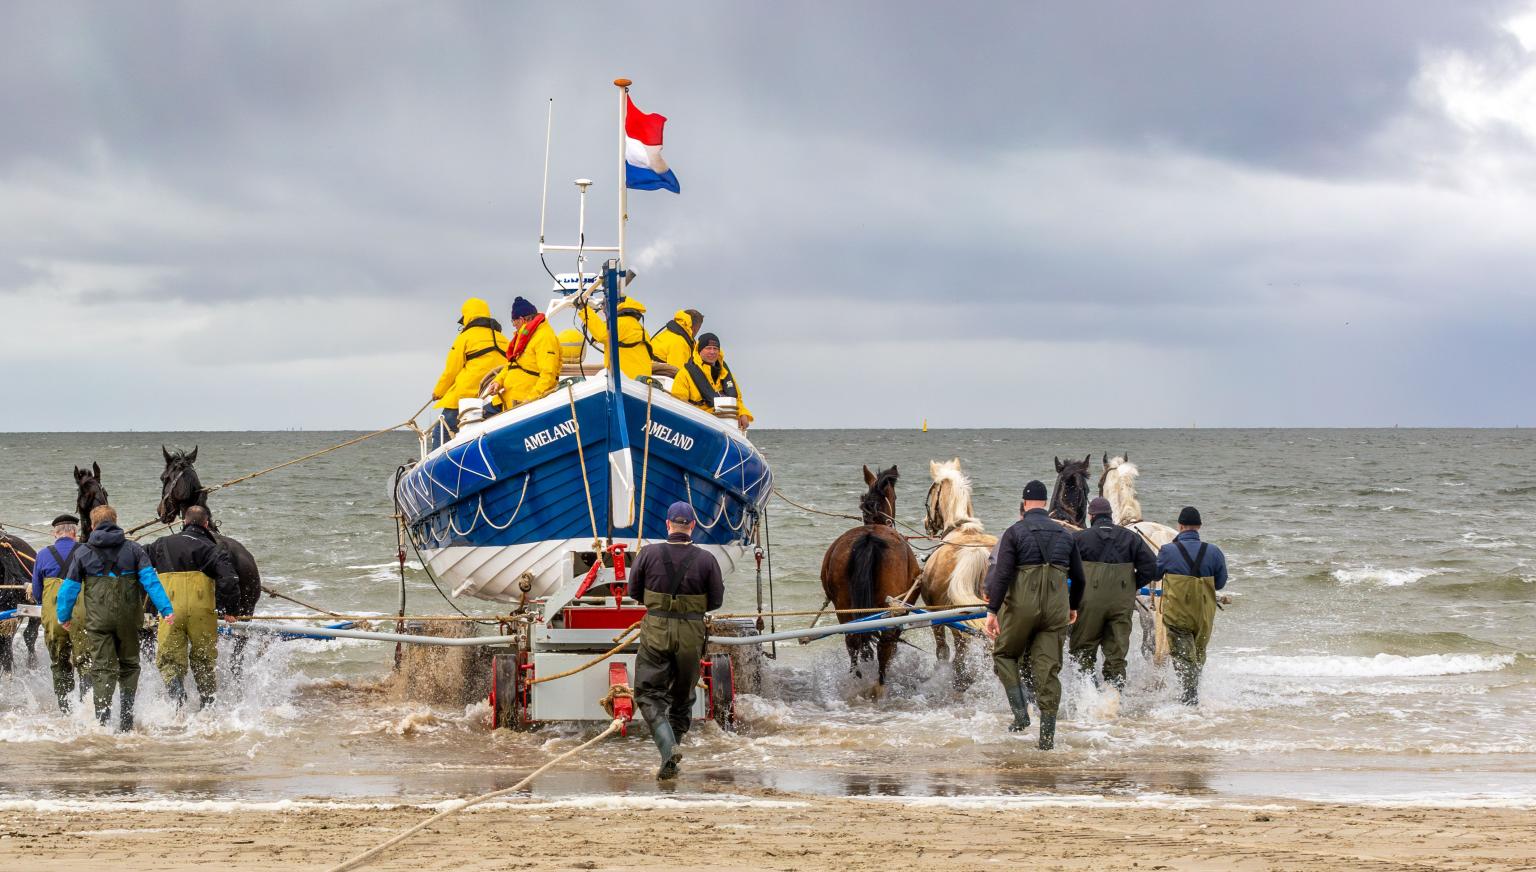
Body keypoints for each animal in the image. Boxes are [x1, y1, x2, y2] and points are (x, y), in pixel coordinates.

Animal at [817, 466, 921, 696]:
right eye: (895, 496)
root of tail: (869, 538)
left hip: (844, 605)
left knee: (853, 639)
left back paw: (857, 677)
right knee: (886, 643)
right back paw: (880, 683)